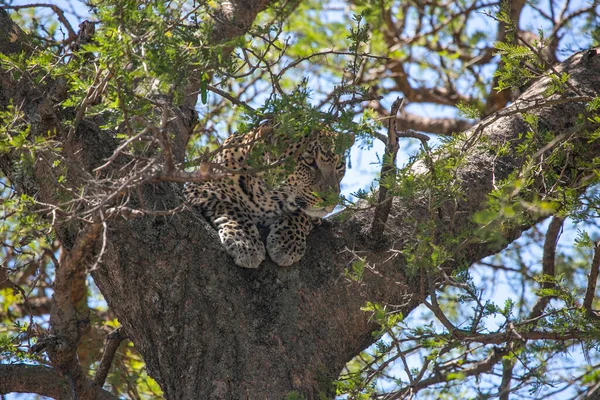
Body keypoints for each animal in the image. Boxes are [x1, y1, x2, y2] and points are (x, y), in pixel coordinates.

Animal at [183, 123, 352, 268]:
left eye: (339, 166)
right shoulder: (196, 188)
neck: (267, 199)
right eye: (310, 161)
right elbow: (230, 206)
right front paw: (245, 243)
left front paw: (286, 243)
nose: (332, 200)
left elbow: (300, 214)